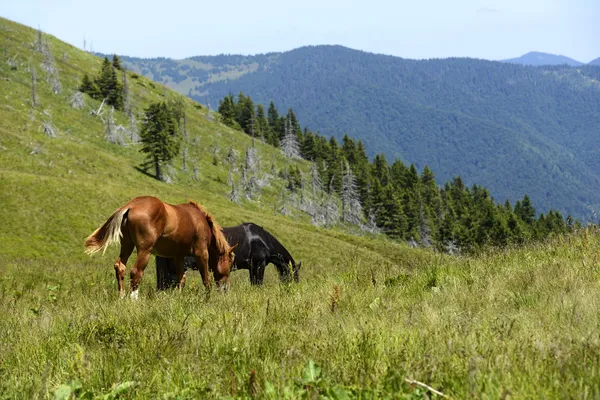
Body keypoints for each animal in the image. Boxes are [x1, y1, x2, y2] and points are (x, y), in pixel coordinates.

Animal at [84, 195, 234, 298]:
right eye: (229, 265)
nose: (226, 289)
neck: (200, 220)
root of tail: (131, 206)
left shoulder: (178, 256)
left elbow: (181, 279)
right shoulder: (201, 252)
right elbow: (206, 279)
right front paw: (208, 298)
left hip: (127, 245)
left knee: (120, 267)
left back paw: (121, 296)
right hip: (144, 250)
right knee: (136, 272)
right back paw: (133, 300)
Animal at [157, 222, 302, 290]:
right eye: (295, 275)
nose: (294, 288)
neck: (263, 240)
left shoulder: (252, 268)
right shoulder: (259, 265)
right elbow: (258, 283)